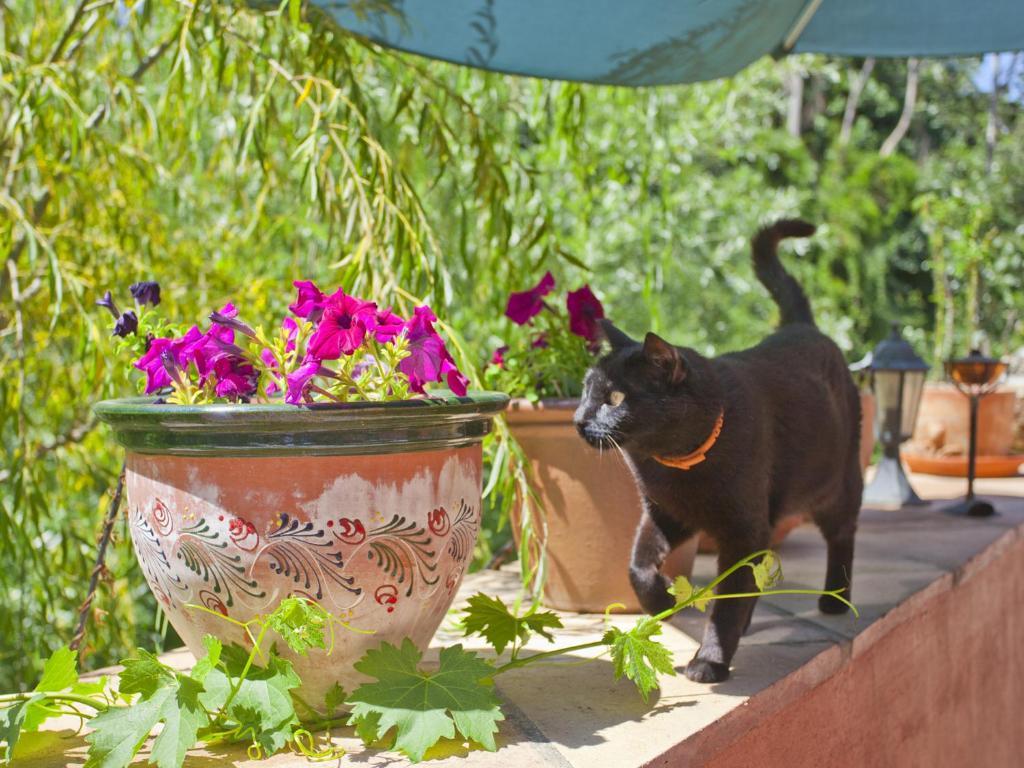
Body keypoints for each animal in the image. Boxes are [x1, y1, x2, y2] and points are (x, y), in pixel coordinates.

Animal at [577, 219, 864, 684]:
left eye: (615, 398)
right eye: (585, 391)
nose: (579, 420)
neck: (677, 467)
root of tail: (802, 327)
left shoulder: (741, 530)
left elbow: (725, 606)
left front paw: (710, 660)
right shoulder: (665, 513)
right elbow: (637, 566)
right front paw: (661, 601)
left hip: (836, 487)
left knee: (842, 536)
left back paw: (835, 599)